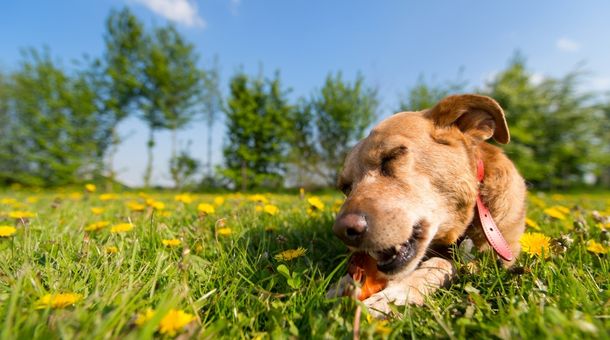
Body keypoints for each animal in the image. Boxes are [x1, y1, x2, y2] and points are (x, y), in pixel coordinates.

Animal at [328, 94, 524, 318]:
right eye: (345, 187)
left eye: (393, 155)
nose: (343, 232)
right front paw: (343, 284)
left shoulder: (495, 259)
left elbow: (440, 265)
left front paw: (393, 297)